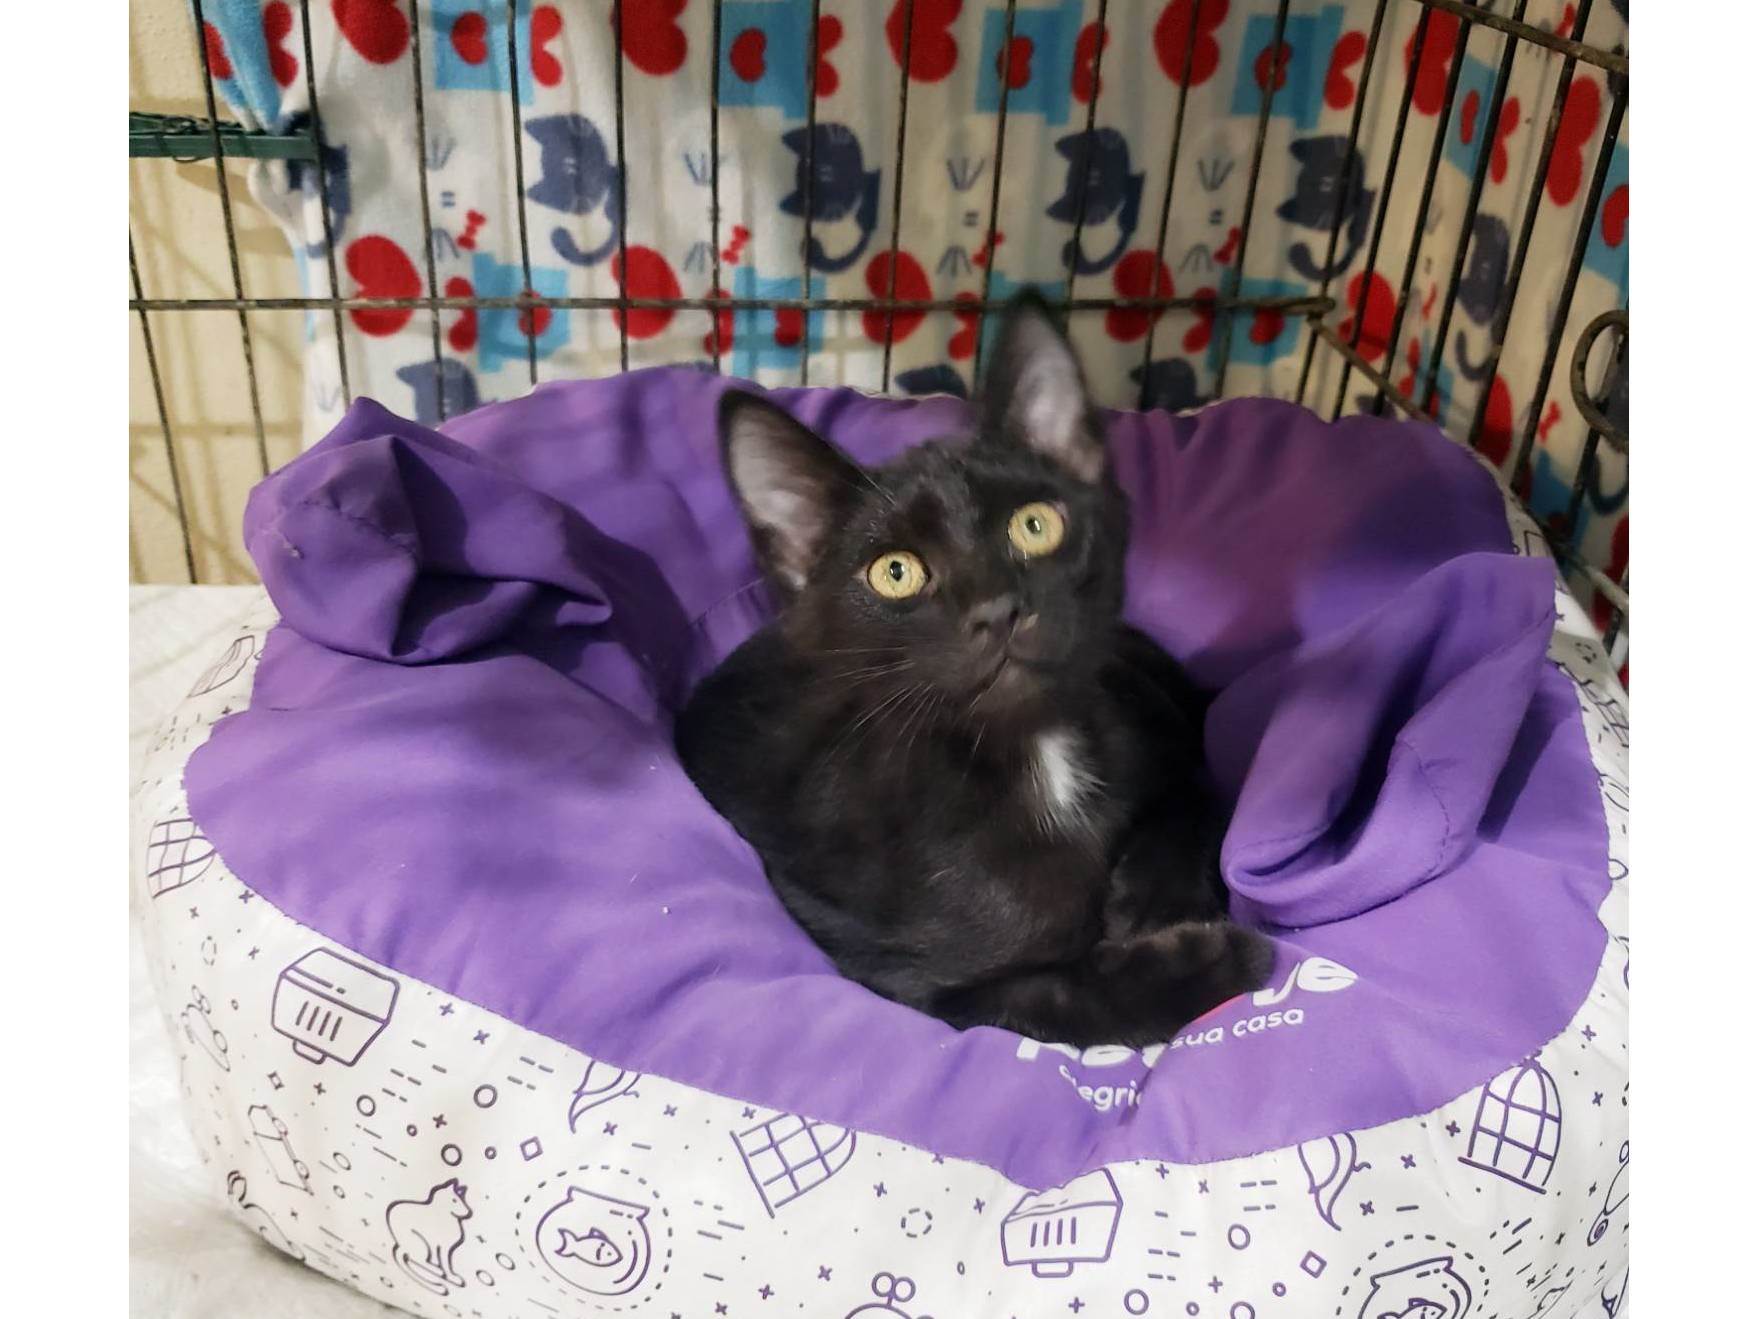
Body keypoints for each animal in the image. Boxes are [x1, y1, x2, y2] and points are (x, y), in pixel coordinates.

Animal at [676, 291, 1273, 1047]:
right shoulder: (909, 983)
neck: (1040, 760)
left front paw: (1149, 896)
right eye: (895, 572)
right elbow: (1053, 997)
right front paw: (1218, 959)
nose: (998, 609)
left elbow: (1199, 797)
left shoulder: (1156, 742)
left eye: (1034, 525)